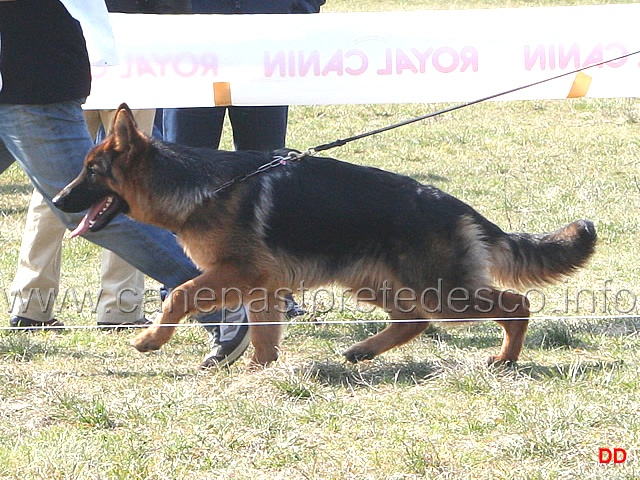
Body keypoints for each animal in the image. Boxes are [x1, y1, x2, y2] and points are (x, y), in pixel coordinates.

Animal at [52, 105, 596, 368]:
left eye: (91, 171)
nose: (57, 199)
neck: (201, 187)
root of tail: (456, 206)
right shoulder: (262, 287)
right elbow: (264, 338)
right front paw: (260, 372)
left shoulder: (236, 273)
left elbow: (180, 294)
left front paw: (150, 339)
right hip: (376, 284)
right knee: (415, 319)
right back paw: (364, 351)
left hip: (445, 293)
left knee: (517, 305)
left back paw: (505, 359)